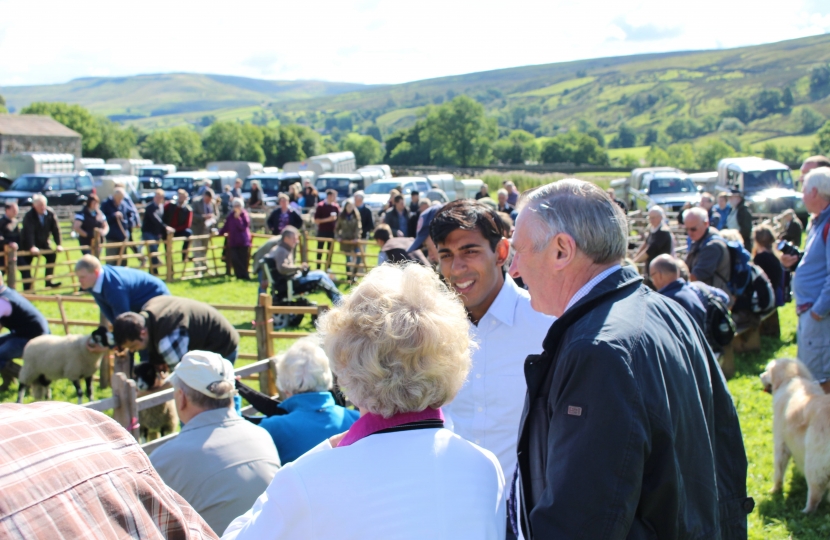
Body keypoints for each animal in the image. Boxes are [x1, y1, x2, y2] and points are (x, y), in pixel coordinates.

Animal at [764, 358, 830, 510]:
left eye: (766, 371)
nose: (760, 375)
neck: (791, 378)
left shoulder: (780, 444)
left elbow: (778, 471)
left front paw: (775, 490)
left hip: (813, 465)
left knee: (815, 494)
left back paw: (806, 511)